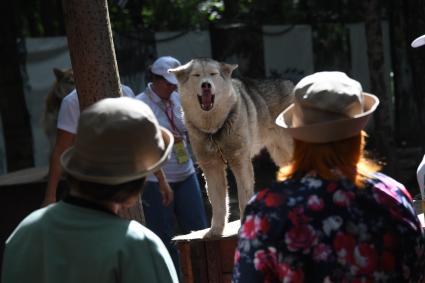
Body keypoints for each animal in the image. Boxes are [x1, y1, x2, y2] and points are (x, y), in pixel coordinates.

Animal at [167, 58, 294, 237]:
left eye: (213, 74)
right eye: (196, 75)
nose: (206, 85)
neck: (214, 131)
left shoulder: (240, 162)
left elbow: (243, 198)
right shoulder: (211, 167)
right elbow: (218, 204)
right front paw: (215, 231)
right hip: (281, 154)